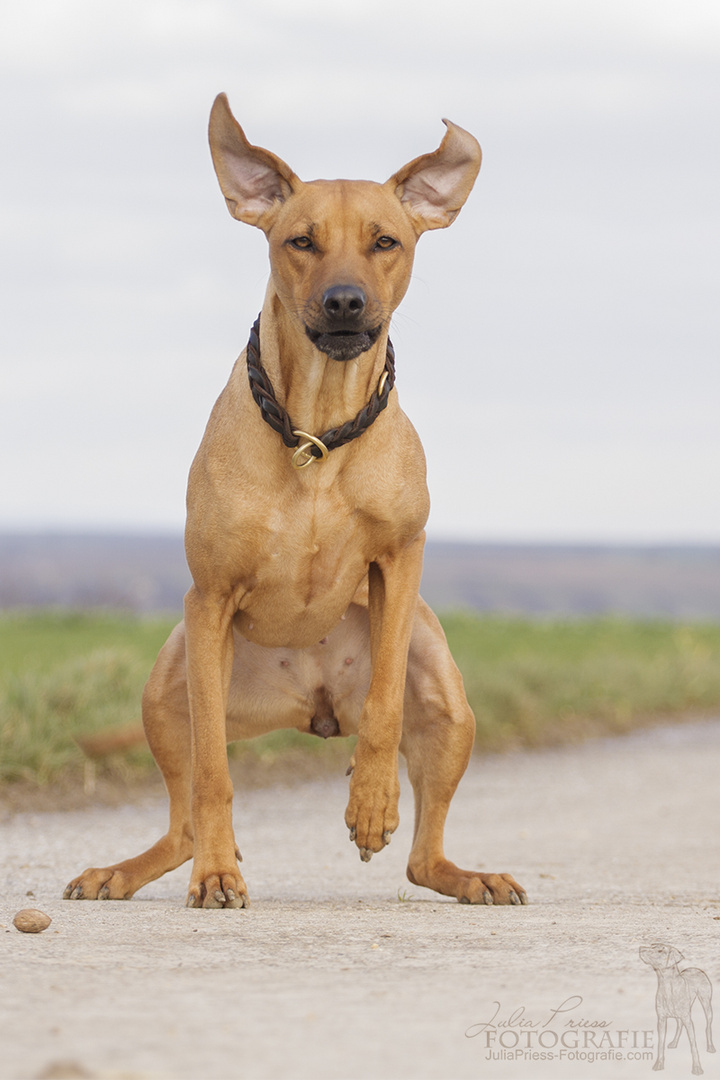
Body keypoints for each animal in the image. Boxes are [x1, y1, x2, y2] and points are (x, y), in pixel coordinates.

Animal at [64, 92, 526, 911]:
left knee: (421, 855)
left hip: (446, 692)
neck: (317, 433)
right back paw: (127, 870)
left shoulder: (400, 559)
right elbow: (214, 774)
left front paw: (372, 800)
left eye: (385, 241)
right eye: (300, 241)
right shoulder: (210, 598)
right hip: (169, 683)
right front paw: (220, 875)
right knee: (184, 822)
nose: (345, 301)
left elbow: (384, 707)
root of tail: (312, 701)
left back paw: (467, 874)